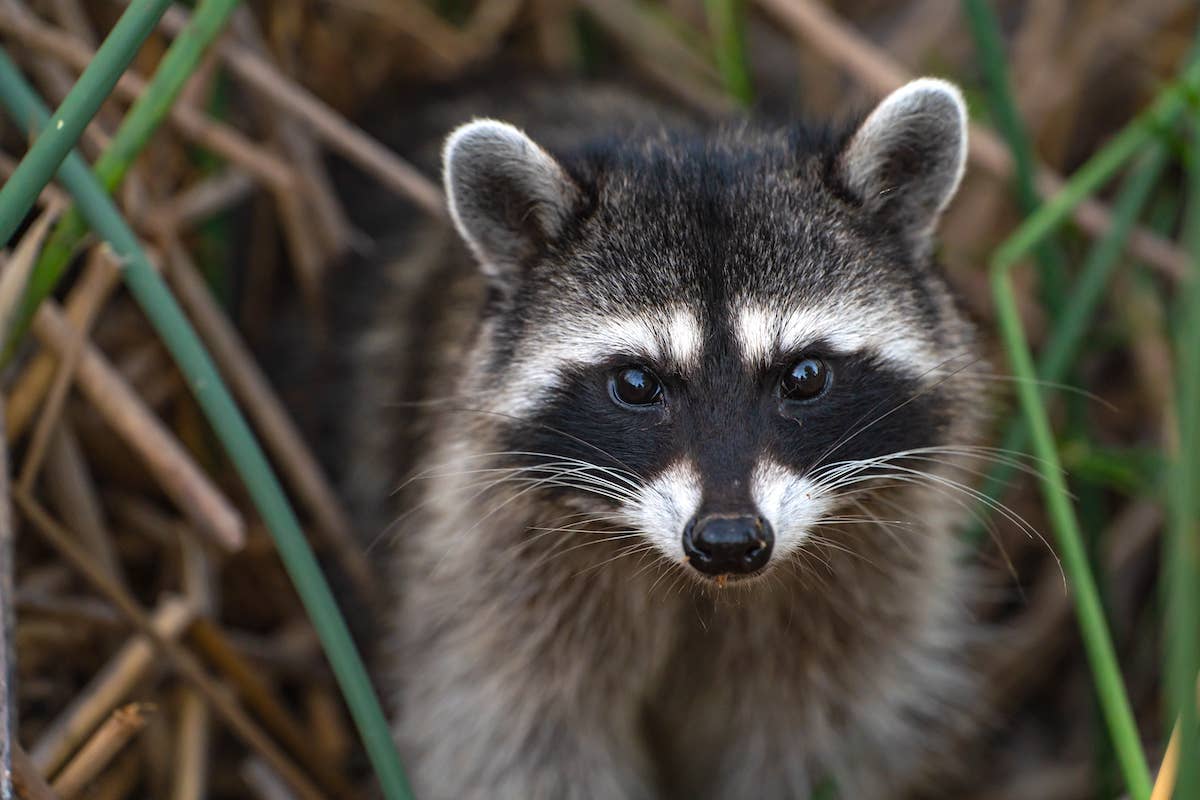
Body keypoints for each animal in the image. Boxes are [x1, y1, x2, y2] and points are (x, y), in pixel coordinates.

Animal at [341, 78, 986, 799]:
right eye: (636, 383)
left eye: (805, 376)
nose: (728, 541)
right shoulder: (487, 568)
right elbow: (515, 738)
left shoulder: (871, 586)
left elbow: (817, 734)